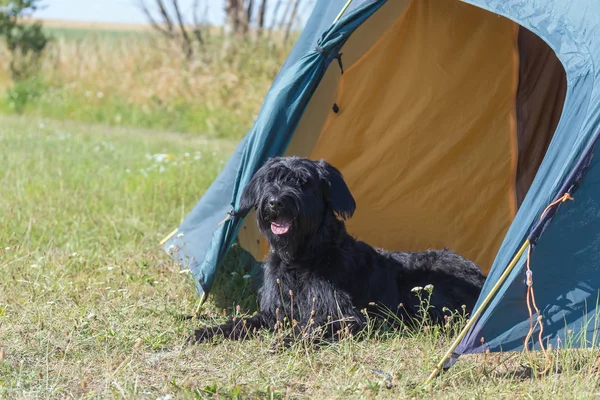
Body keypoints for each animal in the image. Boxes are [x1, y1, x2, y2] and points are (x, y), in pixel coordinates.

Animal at [192, 156, 488, 344]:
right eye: (269, 180)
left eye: (303, 182)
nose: (275, 202)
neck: (302, 258)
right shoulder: (274, 312)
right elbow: (242, 322)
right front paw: (208, 331)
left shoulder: (347, 316)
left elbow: (313, 327)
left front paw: (288, 340)